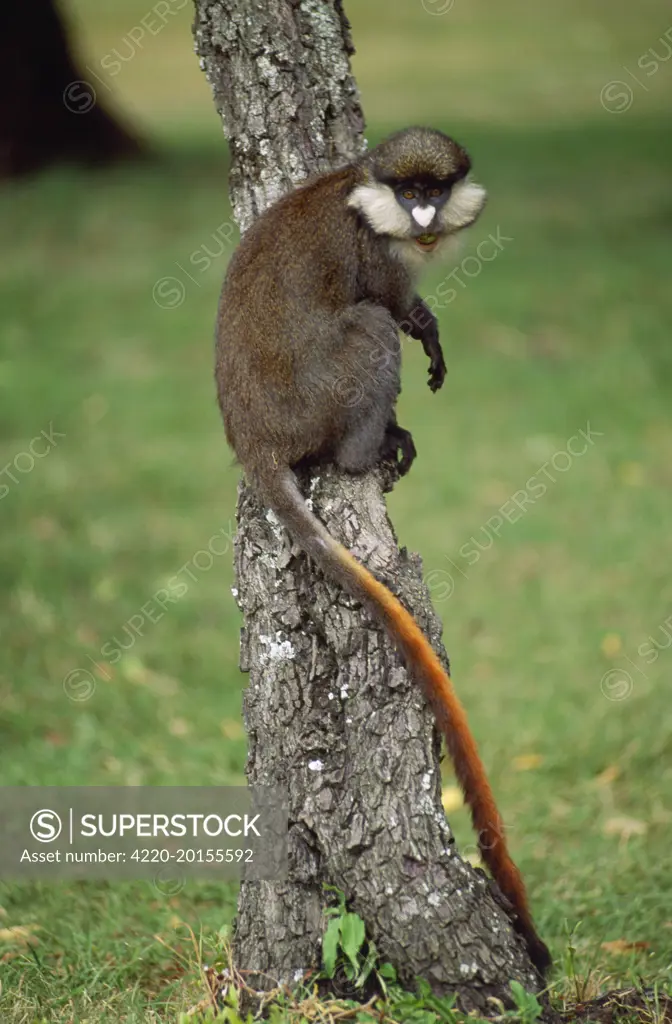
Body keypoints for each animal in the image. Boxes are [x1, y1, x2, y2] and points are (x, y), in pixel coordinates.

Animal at [215, 125, 553, 974]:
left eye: (433, 190)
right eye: (408, 194)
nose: (426, 216)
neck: (359, 189)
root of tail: (253, 439)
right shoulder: (379, 254)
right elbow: (392, 304)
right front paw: (424, 327)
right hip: (316, 395)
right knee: (366, 328)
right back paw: (367, 450)